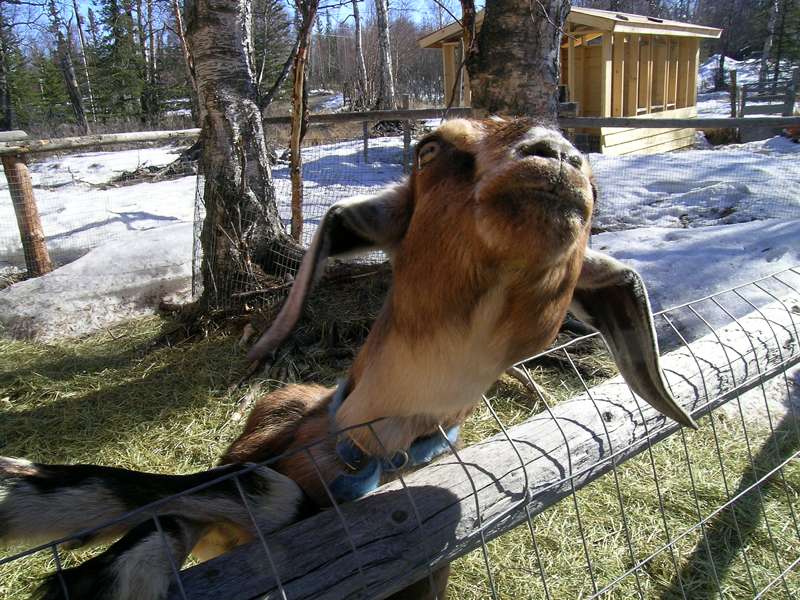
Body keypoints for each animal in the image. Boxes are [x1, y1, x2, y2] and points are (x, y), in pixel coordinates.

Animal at [0, 117, 692, 600]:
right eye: (430, 147)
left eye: (593, 184)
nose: (559, 157)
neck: (362, 456)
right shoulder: (241, 477)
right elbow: (193, 499)